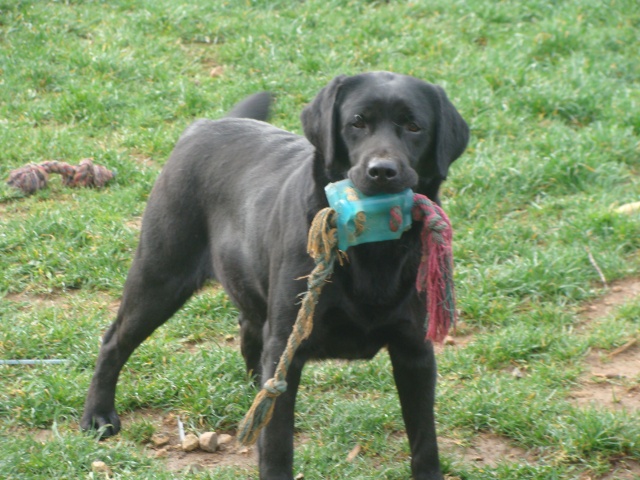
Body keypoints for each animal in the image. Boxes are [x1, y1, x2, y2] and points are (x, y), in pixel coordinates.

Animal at [82, 72, 468, 480]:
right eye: (357, 123)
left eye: (414, 127)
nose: (382, 171)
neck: (372, 250)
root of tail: (203, 125)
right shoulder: (288, 343)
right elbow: (278, 443)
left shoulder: (415, 351)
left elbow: (425, 441)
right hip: (159, 276)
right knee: (113, 341)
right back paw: (98, 415)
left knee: (250, 336)